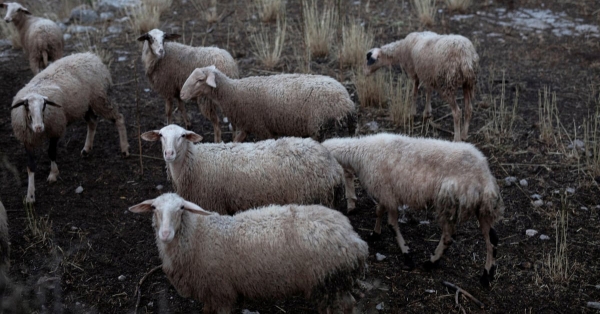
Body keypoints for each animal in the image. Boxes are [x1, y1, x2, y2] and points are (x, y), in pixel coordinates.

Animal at [10, 51, 130, 204]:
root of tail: (91, 56)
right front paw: (30, 196)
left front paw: (53, 174)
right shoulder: (28, 140)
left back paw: (124, 149)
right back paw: (86, 149)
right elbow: (30, 166)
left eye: (44, 106)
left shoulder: (56, 128)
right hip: (85, 103)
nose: (38, 127)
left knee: (119, 118)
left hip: (101, 98)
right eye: (26, 106)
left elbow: (51, 152)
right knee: (92, 122)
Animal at [129, 193, 368, 312]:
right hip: (329, 283)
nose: (165, 234)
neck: (198, 236)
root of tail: (353, 238)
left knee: (347, 306)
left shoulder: (221, 291)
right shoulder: (208, 292)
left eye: (181, 208)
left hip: (328, 279)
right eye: (154, 209)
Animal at [141, 124, 344, 215]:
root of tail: (333, 164)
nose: (169, 153)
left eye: (183, 136)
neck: (195, 163)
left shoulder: (215, 203)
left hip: (311, 196)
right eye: (161, 135)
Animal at [178, 65, 356, 143]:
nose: (181, 94)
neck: (233, 93)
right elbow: (236, 142)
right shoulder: (247, 126)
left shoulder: (262, 128)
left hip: (321, 128)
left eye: (200, 80)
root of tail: (346, 100)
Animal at [322, 132, 504, 288]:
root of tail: (484, 177)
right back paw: (487, 275)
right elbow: (378, 211)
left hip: (448, 202)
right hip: (483, 209)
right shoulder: (385, 193)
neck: (361, 152)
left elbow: (392, 225)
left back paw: (431, 262)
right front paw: (375, 233)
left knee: (448, 237)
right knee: (492, 239)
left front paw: (407, 255)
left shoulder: (387, 193)